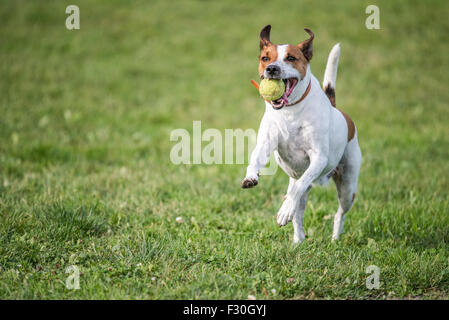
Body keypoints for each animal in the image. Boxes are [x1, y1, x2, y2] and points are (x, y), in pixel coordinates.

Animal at [242, 25, 360, 242]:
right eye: (265, 58)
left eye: (291, 58)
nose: (272, 68)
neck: (290, 111)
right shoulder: (266, 142)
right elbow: (255, 159)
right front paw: (251, 177)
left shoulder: (319, 158)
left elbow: (299, 186)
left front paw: (284, 211)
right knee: (298, 210)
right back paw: (298, 240)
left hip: (348, 185)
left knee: (337, 211)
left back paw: (334, 238)